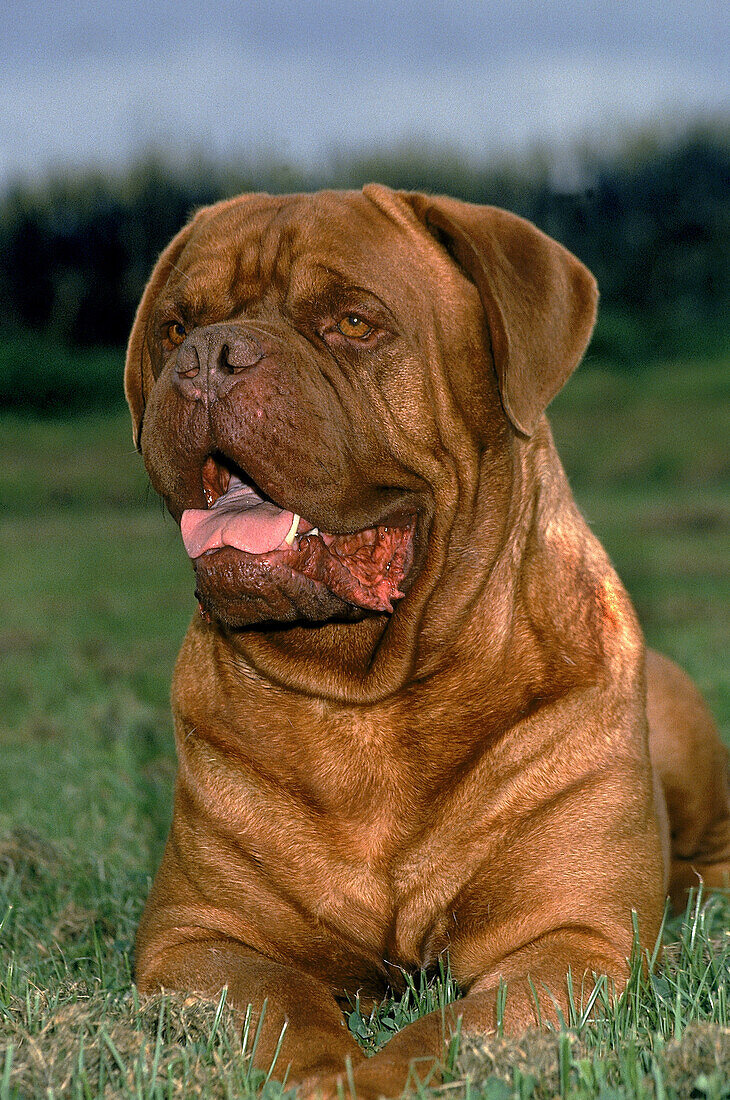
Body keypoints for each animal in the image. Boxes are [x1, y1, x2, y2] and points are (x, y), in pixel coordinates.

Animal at [124, 184, 729, 1095]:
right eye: (173, 327)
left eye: (352, 322)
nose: (206, 359)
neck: (365, 699)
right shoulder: (196, 938)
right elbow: (286, 1008)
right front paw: (328, 1072)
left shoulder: (569, 939)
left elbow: (444, 1033)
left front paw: (379, 1077)